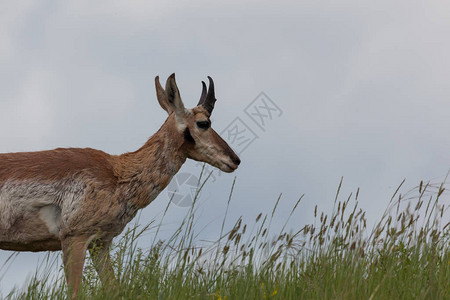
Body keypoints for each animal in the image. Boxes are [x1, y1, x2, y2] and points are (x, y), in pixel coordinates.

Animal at [0, 74, 241, 298]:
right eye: (204, 123)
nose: (235, 160)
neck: (118, 172)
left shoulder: (100, 243)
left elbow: (114, 289)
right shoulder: (73, 237)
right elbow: (76, 292)